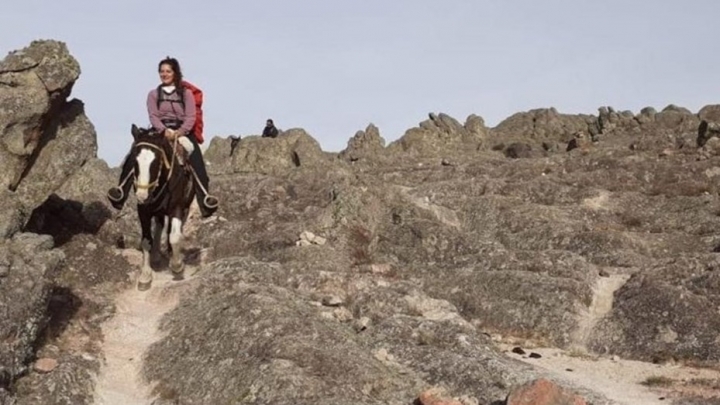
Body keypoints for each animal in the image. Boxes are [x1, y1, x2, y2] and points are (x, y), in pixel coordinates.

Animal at [129, 124, 195, 290]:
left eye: (156, 161)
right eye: (134, 160)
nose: (142, 195)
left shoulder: (177, 207)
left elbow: (175, 236)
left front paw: (177, 267)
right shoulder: (143, 211)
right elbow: (146, 241)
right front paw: (145, 276)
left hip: (184, 208)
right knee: (159, 226)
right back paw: (156, 257)